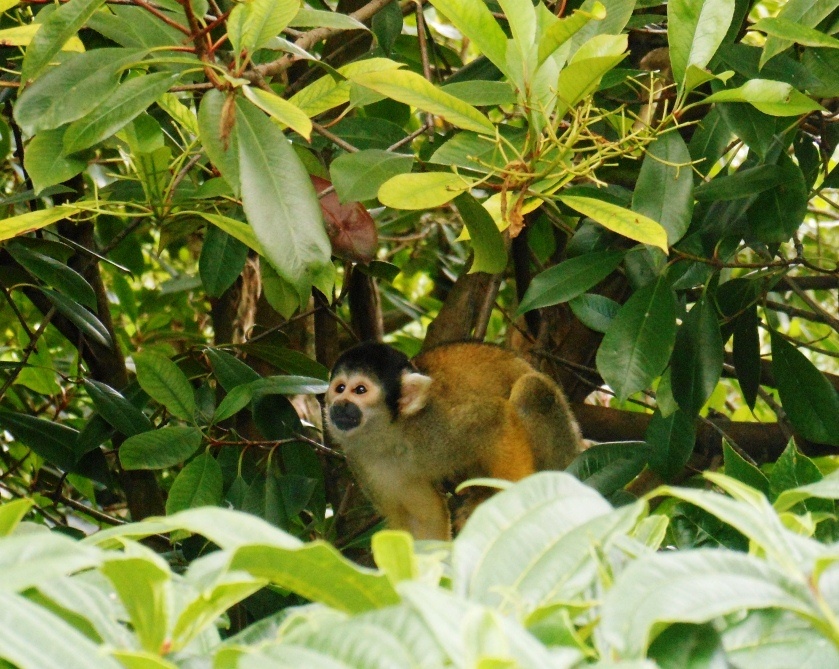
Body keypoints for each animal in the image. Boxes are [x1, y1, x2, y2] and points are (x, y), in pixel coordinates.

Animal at [324, 341, 583, 540]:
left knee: (532, 388)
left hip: (564, 450)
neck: (393, 434)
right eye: (340, 388)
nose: (340, 405)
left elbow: (495, 419)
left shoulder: (436, 426)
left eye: (360, 390)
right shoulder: (364, 462)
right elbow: (424, 518)